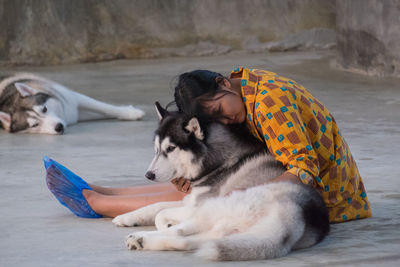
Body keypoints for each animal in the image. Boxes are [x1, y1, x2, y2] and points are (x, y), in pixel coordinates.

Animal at [0, 73, 145, 134]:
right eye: (35, 125)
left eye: (44, 109)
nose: (59, 127)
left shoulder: (71, 100)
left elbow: (104, 107)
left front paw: (131, 113)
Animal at [111, 103, 328, 262]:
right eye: (156, 149)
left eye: (171, 148)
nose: (149, 175)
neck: (218, 161)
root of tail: (294, 215)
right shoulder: (191, 200)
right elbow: (154, 206)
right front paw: (126, 217)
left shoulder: (198, 204)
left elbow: (160, 213)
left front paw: (165, 223)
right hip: (226, 232)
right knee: (188, 241)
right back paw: (141, 241)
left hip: (214, 209)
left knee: (180, 232)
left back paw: (143, 237)